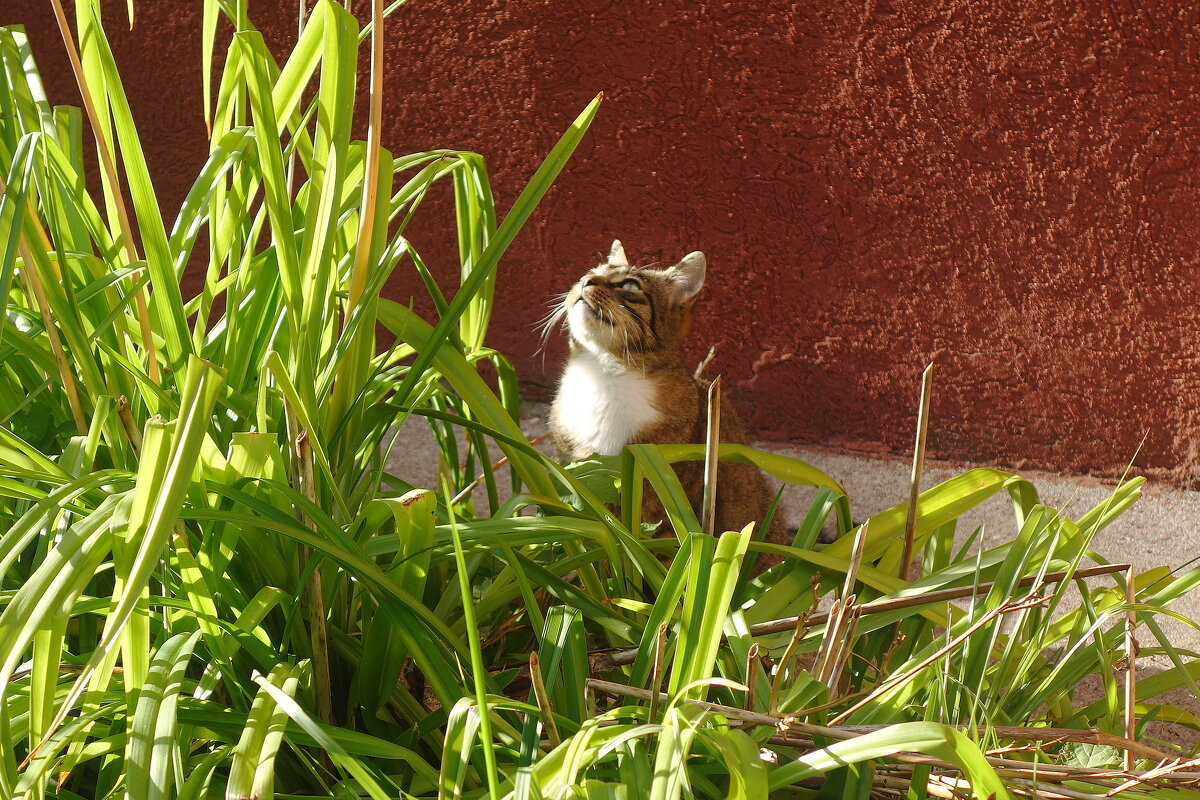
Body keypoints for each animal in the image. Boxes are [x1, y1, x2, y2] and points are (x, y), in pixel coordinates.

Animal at [549, 239, 792, 544]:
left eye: (630, 285)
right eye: (590, 272)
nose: (584, 281)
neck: (604, 373)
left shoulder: (661, 510)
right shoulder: (577, 472)